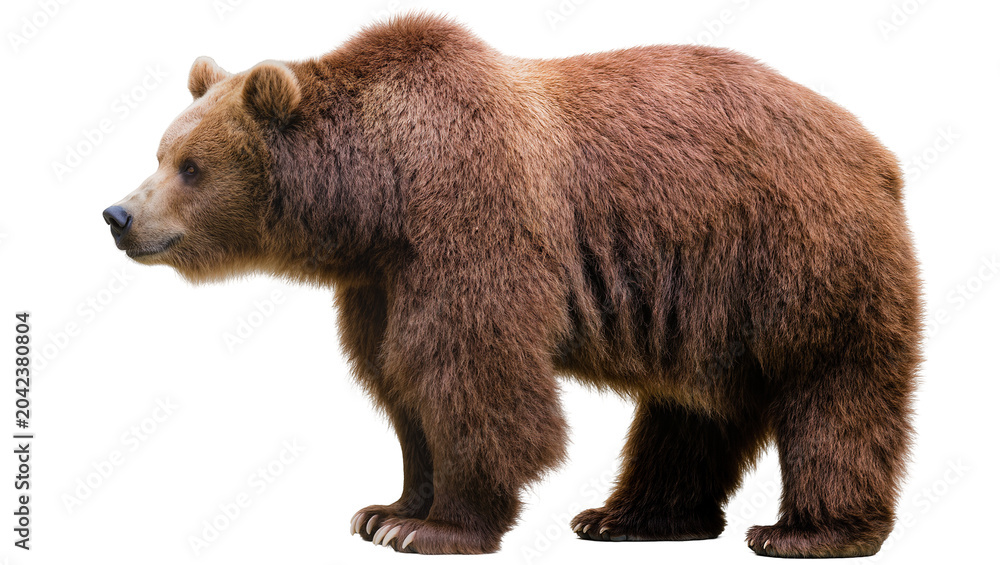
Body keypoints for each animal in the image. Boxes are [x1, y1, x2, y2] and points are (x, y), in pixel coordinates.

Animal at [102, 14, 920, 558]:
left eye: (192, 166)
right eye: (161, 150)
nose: (118, 215)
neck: (377, 196)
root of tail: (874, 148)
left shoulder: (470, 222)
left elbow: (472, 376)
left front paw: (430, 526)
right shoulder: (380, 280)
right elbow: (399, 379)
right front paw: (385, 506)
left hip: (797, 253)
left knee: (834, 387)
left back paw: (806, 530)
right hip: (706, 302)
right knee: (690, 409)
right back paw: (627, 517)